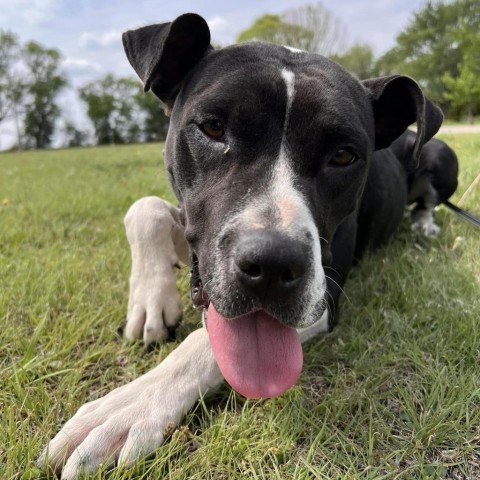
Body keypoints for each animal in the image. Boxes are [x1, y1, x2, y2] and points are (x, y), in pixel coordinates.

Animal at [41, 13, 458, 478]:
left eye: (345, 155)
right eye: (213, 128)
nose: (273, 265)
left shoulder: (324, 298)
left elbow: (205, 341)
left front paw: (129, 406)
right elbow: (144, 209)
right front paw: (150, 302)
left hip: (440, 153)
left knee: (430, 198)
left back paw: (424, 225)